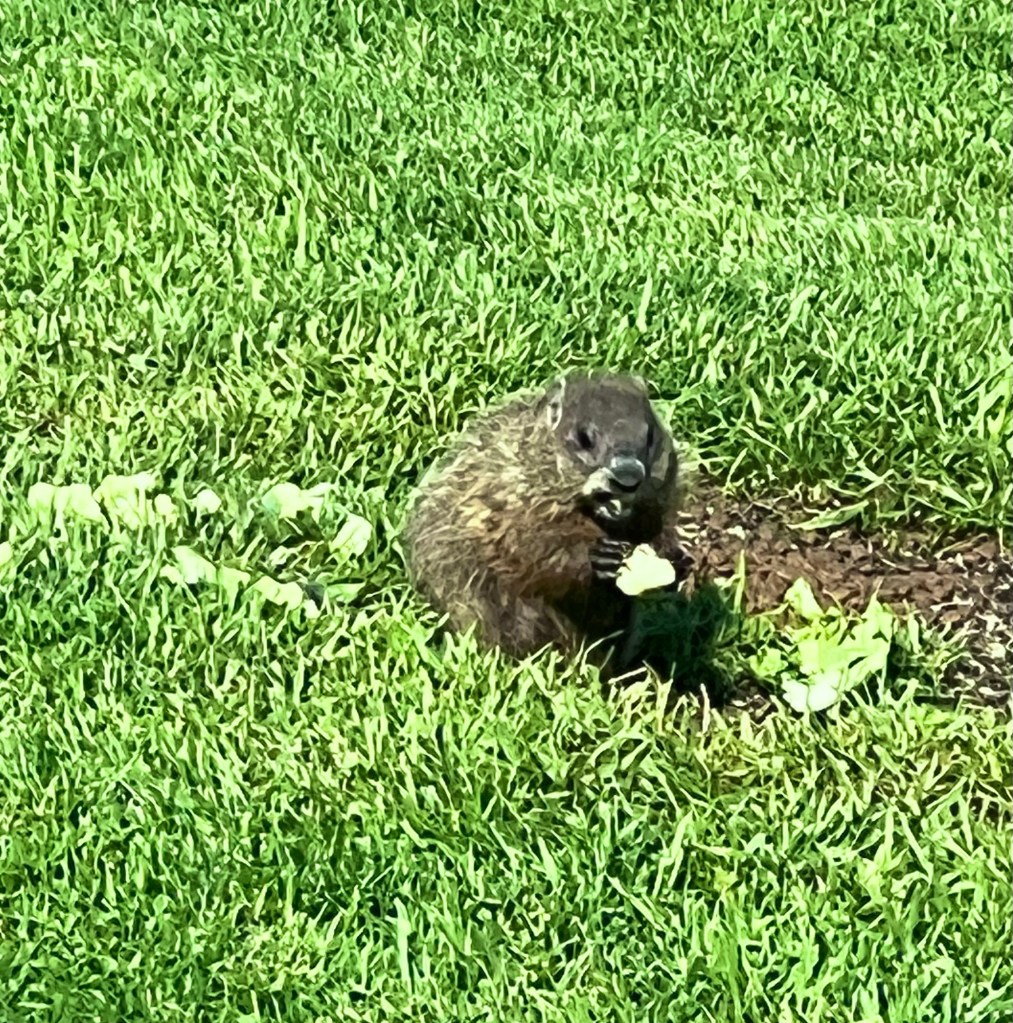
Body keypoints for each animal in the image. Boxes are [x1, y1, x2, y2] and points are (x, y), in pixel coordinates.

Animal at [401, 371, 683, 674]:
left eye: (650, 436)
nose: (629, 476)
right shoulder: (507, 494)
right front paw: (598, 556)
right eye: (584, 438)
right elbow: (526, 543)